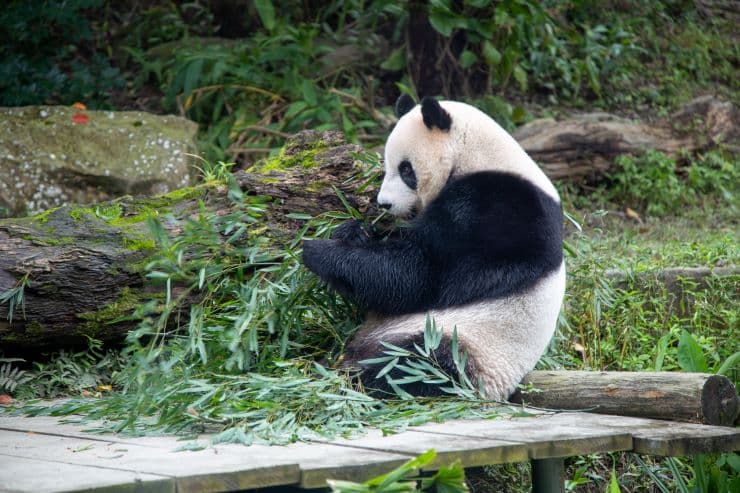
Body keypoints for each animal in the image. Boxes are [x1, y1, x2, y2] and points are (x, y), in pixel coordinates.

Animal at [304, 96, 564, 400]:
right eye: (386, 167)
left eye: (406, 170)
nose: (384, 204)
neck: (481, 158)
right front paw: (352, 231)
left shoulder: (502, 212)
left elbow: (422, 275)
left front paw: (317, 251)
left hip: (465, 344)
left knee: (416, 363)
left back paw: (355, 377)